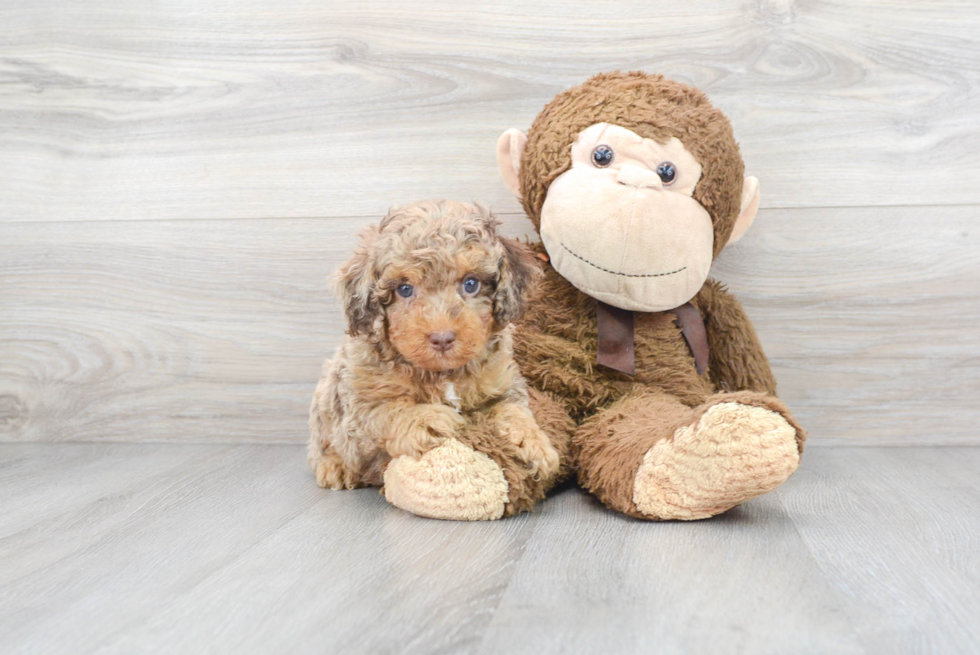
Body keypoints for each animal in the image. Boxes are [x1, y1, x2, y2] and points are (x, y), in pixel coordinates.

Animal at [310, 201, 564, 524]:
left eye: (471, 284)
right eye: (404, 289)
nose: (442, 338)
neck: (443, 374)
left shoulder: (503, 385)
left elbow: (514, 411)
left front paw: (534, 443)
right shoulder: (357, 403)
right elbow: (387, 412)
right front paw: (427, 418)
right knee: (322, 446)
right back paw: (335, 467)